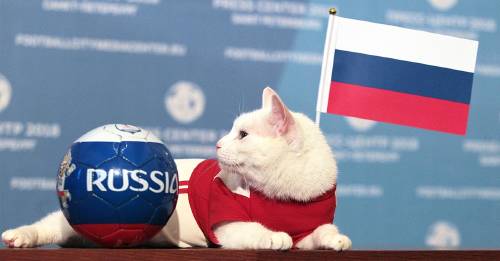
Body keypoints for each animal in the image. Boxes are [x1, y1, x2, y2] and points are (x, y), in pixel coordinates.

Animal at [1, 87, 352, 250]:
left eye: (242, 135)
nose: (217, 145)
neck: (285, 194)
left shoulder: (307, 229)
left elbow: (320, 232)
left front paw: (336, 239)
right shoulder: (226, 223)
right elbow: (254, 229)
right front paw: (274, 237)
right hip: (71, 220)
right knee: (47, 225)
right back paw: (20, 236)